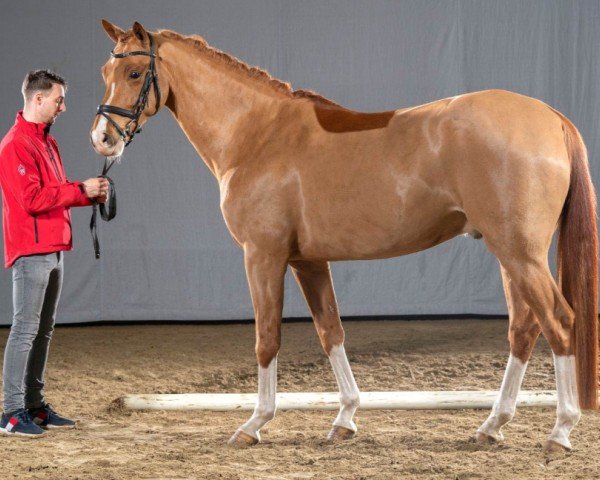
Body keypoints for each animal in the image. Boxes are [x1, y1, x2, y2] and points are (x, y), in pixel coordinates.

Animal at [91, 19, 596, 454]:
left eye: (134, 72)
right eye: (105, 72)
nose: (102, 139)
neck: (257, 133)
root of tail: (551, 117)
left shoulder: (263, 255)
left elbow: (267, 338)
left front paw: (254, 423)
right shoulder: (308, 261)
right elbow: (330, 331)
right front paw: (345, 419)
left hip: (519, 252)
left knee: (559, 321)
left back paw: (561, 430)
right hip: (509, 254)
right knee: (524, 328)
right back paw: (492, 426)